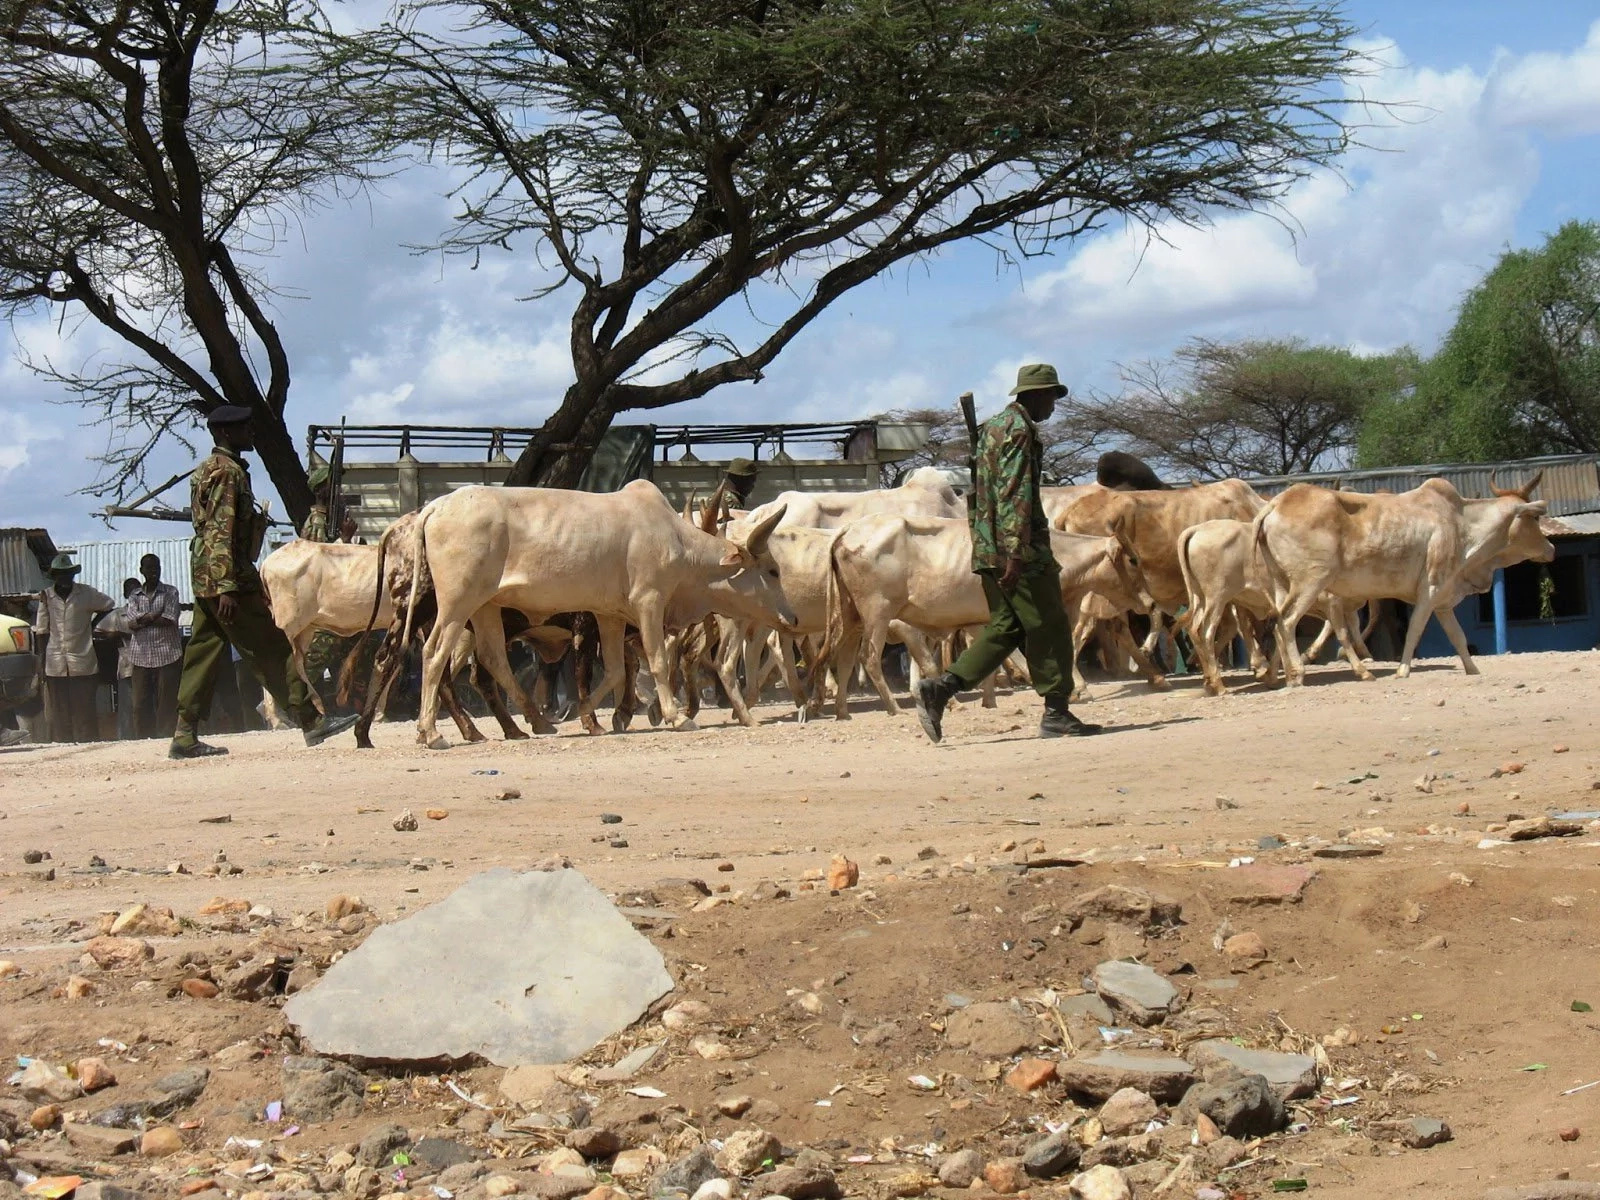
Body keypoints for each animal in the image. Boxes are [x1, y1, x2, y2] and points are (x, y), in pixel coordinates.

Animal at [406, 483, 793, 748]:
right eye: (772, 570)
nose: (790, 618)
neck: (679, 543)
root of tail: (437, 505)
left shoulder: (610, 616)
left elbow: (616, 670)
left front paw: (587, 715)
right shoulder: (649, 603)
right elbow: (657, 662)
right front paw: (675, 716)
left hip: (486, 606)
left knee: (493, 656)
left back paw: (535, 722)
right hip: (458, 603)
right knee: (435, 654)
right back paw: (432, 732)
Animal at [1248, 476, 1548, 691]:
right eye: (1534, 518)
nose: (1552, 549)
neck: (1462, 523)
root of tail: (1276, 504)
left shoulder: (1443, 600)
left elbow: (1458, 636)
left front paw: (1472, 669)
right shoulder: (1430, 590)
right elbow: (1414, 629)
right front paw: (1402, 670)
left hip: (1282, 584)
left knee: (1278, 622)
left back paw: (1281, 675)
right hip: (1311, 582)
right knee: (1286, 621)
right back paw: (1298, 673)